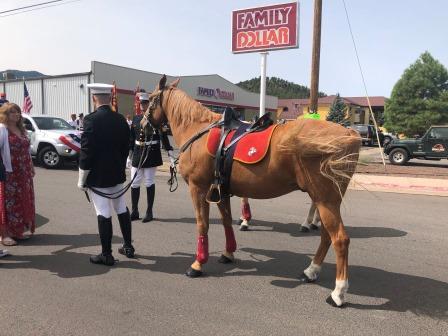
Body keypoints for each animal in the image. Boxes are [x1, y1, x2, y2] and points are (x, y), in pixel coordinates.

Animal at [144, 77, 360, 308]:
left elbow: (203, 225)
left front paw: (198, 264)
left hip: (325, 200)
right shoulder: (220, 191)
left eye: (150, 100)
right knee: (326, 236)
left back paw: (338, 291)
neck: (198, 130)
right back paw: (311, 271)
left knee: (340, 239)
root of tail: (348, 134)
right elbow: (227, 222)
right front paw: (228, 253)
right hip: (326, 200)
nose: (142, 125)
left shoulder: (198, 188)